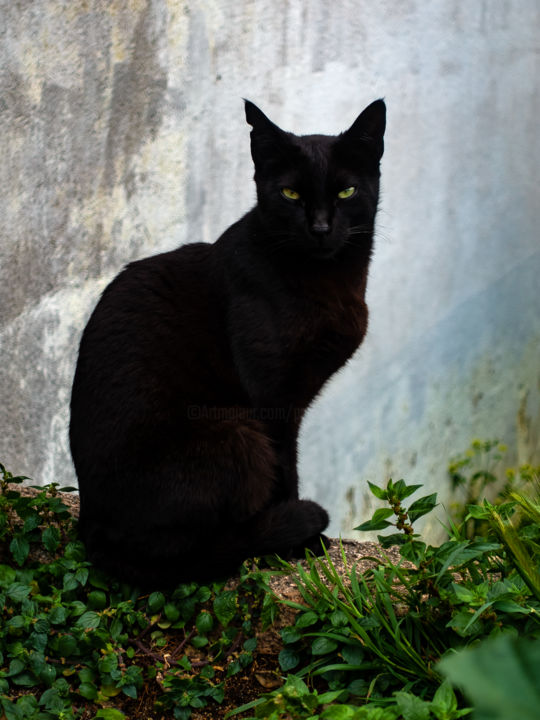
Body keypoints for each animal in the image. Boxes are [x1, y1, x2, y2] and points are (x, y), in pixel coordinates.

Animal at [69, 100, 386, 584]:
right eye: (291, 194)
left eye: (347, 192)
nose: (319, 227)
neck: (329, 280)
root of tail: (91, 531)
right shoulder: (272, 400)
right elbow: (286, 471)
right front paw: (297, 547)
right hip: (236, 432)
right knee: (190, 552)